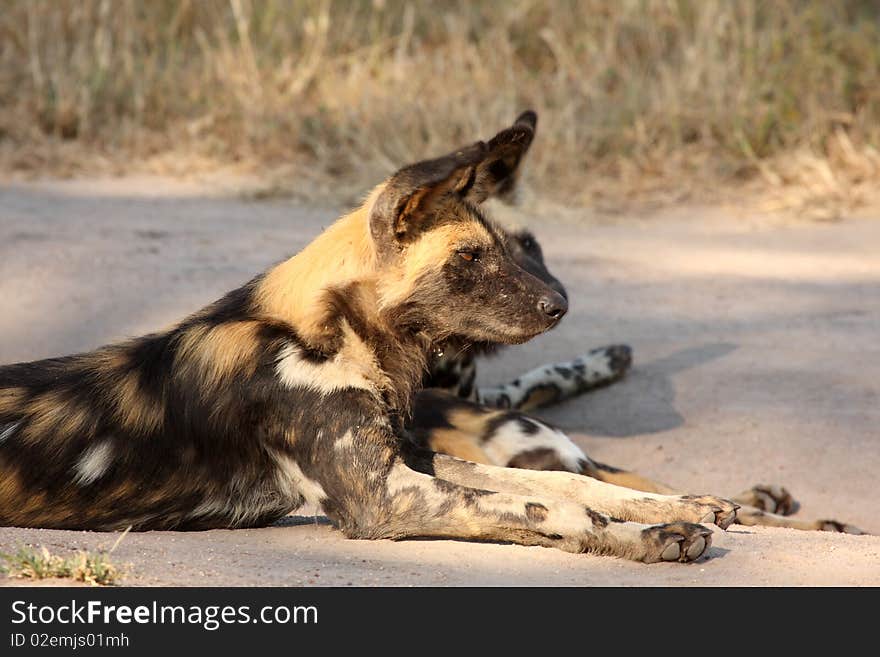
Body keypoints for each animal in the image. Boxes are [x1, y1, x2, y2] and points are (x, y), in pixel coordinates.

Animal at [0, 111, 744, 560]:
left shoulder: (412, 459)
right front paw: (650, 535)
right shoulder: (386, 498)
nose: (559, 304)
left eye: (522, 246)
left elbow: (569, 484)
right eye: (471, 256)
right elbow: (545, 506)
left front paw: (679, 505)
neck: (338, 332)